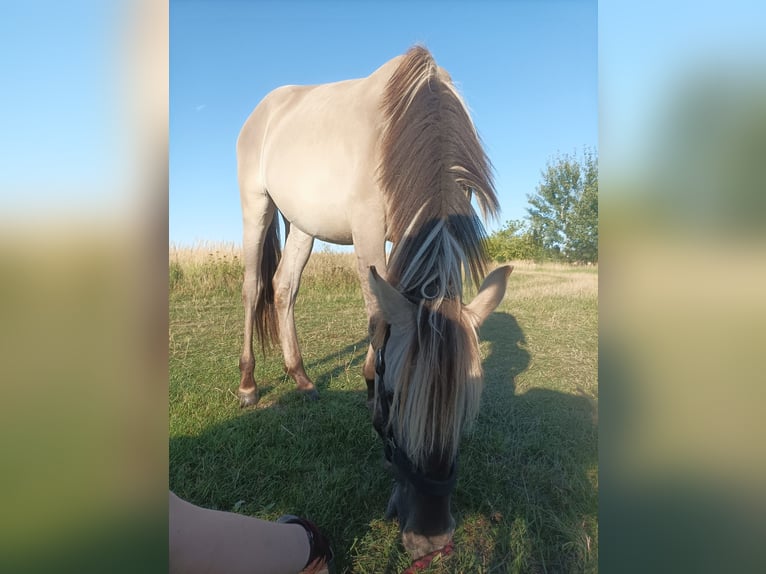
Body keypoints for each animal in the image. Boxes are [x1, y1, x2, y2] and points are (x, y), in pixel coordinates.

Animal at [238, 47, 516, 560]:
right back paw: (248, 384)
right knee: (253, 288)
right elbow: (376, 322)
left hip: (303, 223)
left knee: (284, 287)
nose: (430, 540)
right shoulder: (368, 232)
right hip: (256, 206)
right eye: (393, 399)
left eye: (466, 409)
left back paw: (301, 377)